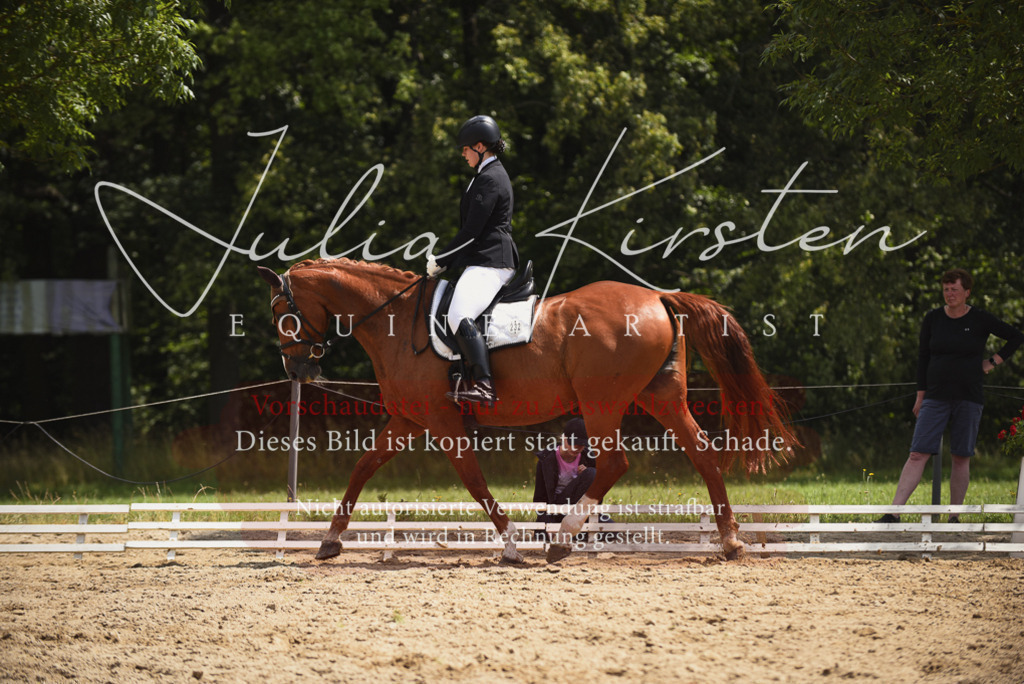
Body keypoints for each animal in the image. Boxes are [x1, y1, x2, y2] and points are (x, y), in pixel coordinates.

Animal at [257, 258, 796, 563]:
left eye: (280, 313)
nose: (296, 366)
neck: (394, 321)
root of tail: (657, 297)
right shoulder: (409, 419)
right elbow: (363, 468)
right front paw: (330, 541)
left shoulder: (443, 421)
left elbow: (474, 481)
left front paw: (514, 545)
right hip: (661, 395)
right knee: (703, 453)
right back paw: (730, 543)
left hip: (602, 401)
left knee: (615, 462)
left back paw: (564, 539)